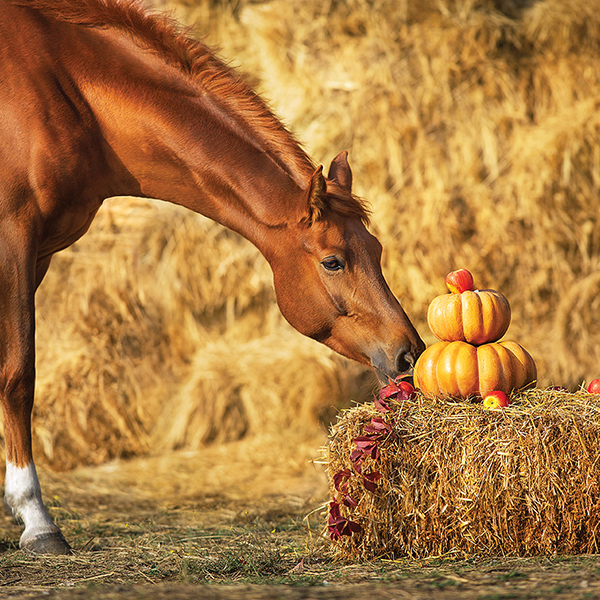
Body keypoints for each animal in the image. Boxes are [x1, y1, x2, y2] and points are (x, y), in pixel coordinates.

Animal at [0, 0, 424, 556]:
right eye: (333, 261)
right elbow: (19, 375)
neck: (63, 87)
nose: (409, 352)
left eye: (376, 250)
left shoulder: (39, 253)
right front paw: (36, 519)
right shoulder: (14, 238)